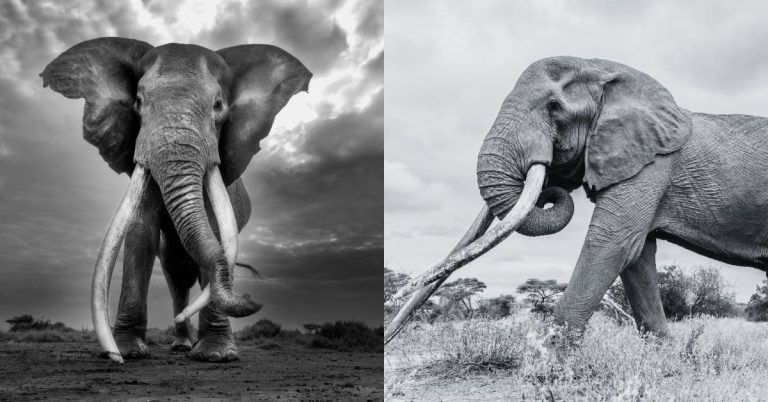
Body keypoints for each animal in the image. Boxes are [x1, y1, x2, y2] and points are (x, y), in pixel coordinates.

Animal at [41, 37, 311, 362]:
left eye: (218, 105)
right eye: (138, 103)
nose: (250, 298)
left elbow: (217, 233)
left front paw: (216, 355)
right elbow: (139, 233)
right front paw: (128, 351)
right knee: (176, 277)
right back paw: (181, 344)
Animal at [386, 56, 768, 343]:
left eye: (554, 106)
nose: (396, 297)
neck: (605, 72)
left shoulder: (651, 165)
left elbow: (613, 243)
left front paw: (548, 369)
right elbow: (637, 257)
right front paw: (666, 360)